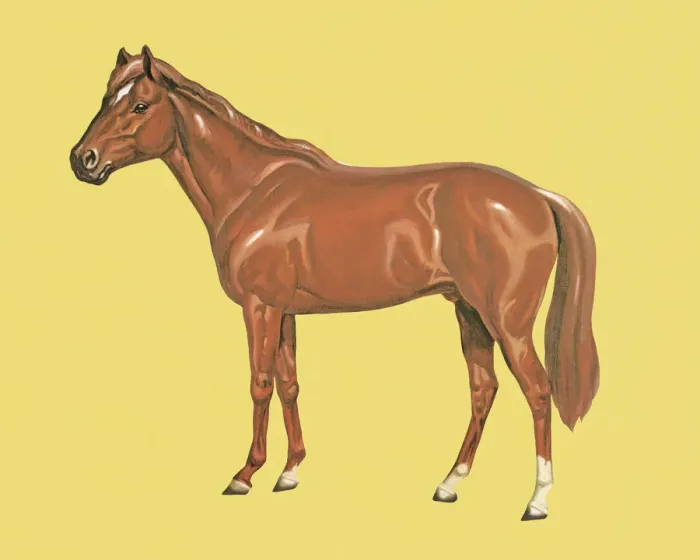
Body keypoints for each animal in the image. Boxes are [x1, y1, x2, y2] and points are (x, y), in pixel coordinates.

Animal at [70, 46, 599, 521]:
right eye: (105, 97)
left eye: (140, 105)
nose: (82, 159)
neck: (254, 190)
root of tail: (538, 195)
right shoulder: (284, 311)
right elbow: (289, 384)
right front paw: (289, 473)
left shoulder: (258, 306)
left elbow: (259, 383)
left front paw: (245, 475)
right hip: (469, 311)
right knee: (483, 389)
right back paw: (449, 484)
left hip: (507, 322)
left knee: (537, 391)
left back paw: (536, 501)